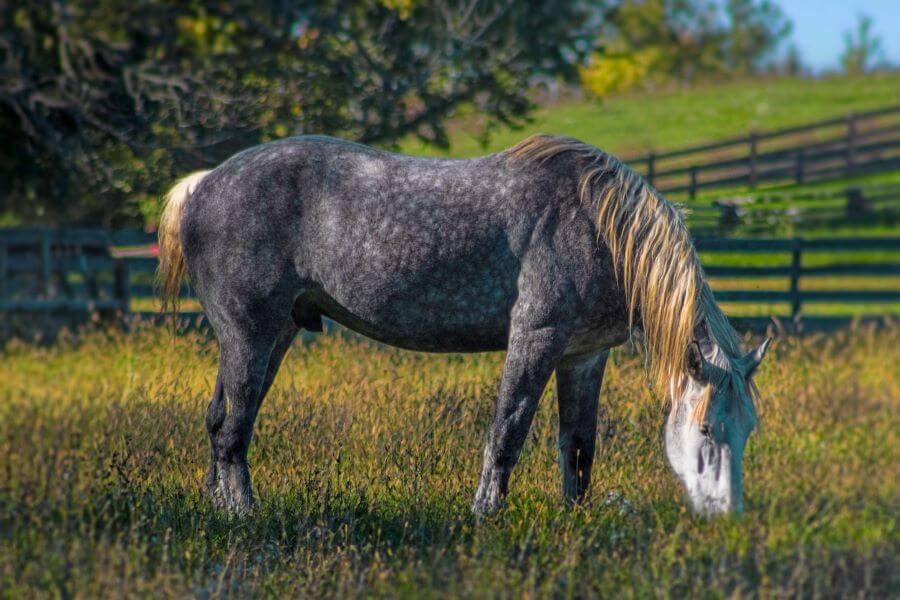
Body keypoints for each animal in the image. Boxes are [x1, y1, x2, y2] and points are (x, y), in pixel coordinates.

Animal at [158, 134, 768, 516]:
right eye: (707, 429)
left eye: (748, 430)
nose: (726, 514)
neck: (598, 225)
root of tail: (203, 185)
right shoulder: (536, 338)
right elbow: (507, 431)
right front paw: (485, 514)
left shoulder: (583, 355)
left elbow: (578, 444)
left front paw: (575, 519)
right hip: (250, 335)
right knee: (233, 430)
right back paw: (244, 513)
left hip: (270, 336)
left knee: (220, 421)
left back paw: (217, 507)